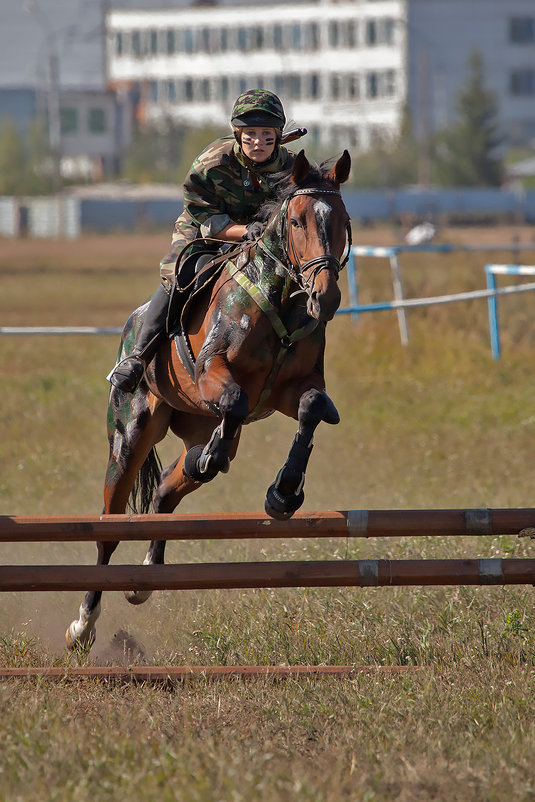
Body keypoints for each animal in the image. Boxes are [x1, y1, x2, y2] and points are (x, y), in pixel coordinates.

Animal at [67, 148, 352, 648]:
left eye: (342, 220)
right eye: (296, 220)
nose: (326, 297)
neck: (280, 296)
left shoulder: (291, 388)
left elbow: (312, 408)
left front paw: (284, 493)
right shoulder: (211, 372)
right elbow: (235, 398)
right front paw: (229, 462)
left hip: (191, 425)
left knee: (167, 489)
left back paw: (145, 580)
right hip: (129, 437)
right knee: (109, 527)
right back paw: (83, 626)